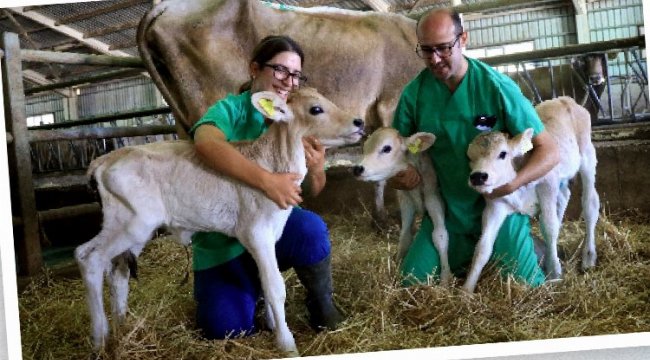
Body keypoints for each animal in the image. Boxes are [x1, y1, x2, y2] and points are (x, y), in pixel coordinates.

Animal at [74, 88, 364, 358]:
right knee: (88, 257)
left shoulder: (272, 233)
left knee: (118, 272)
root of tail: (103, 160)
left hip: (133, 229)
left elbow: (265, 280)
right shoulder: (256, 232)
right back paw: (100, 339)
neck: (274, 163)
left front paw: (272, 324)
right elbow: (275, 287)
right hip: (130, 223)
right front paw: (286, 343)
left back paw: (123, 328)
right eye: (316, 109)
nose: (359, 121)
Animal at [350, 128, 450, 286]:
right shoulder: (406, 200)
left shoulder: (433, 197)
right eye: (365, 147)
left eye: (387, 148)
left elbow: (440, 235)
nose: (357, 169)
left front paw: (445, 279)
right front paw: (397, 266)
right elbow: (405, 235)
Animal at [466, 97, 596, 294]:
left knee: (590, 204)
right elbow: (482, 247)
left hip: (587, 154)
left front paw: (555, 273)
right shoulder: (495, 205)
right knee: (564, 196)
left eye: (502, 154)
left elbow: (549, 227)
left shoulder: (548, 184)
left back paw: (588, 257)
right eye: (470, 158)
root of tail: (564, 99)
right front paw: (466, 290)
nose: (478, 176)